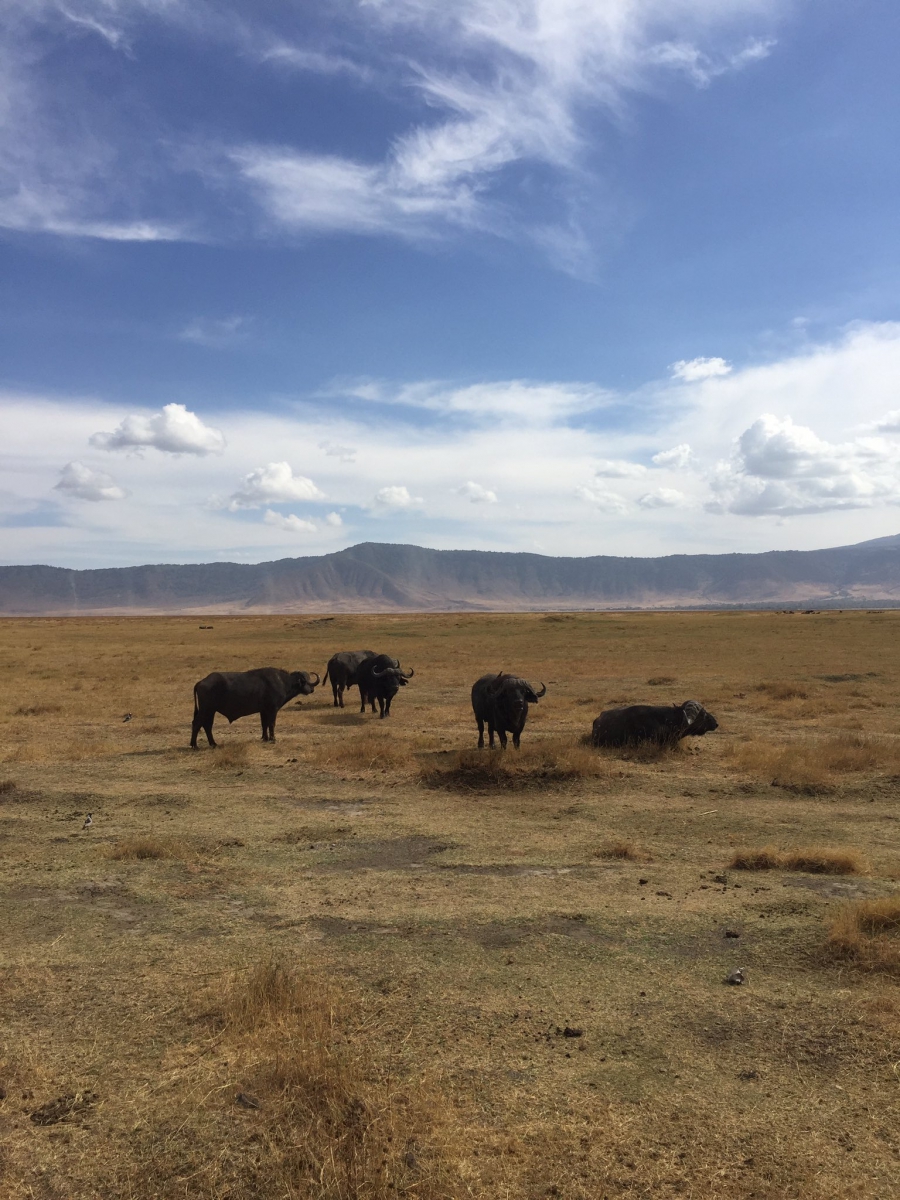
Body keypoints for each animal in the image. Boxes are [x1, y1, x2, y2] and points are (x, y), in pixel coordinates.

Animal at [190, 667, 321, 748]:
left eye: (309, 678)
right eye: (304, 680)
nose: (311, 689)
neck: (283, 682)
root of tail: (201, 682)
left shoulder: (263, 711)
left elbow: (264, 724)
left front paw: (265, 738)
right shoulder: (272, 709)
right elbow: (271, 724)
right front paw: (273, 739)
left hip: (211, 711)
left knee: (207, 726)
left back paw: (213, 743)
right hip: (206, 710)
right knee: (197, 724)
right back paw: (194, 745)